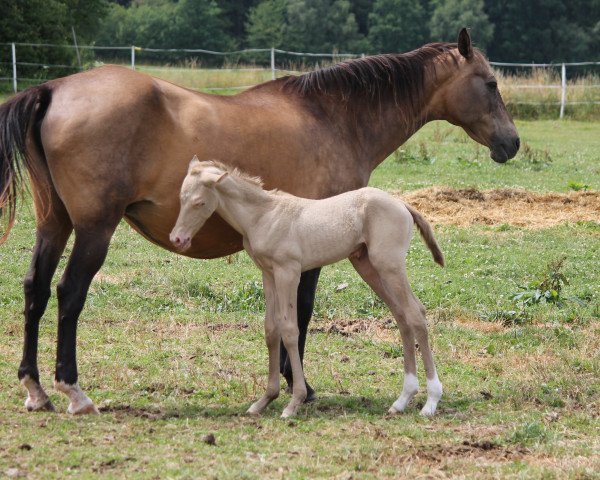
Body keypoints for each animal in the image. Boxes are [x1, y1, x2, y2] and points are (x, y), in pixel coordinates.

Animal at [171, 158, 442, 416]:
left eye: (198, 203)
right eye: (181, 198)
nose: (178, 239)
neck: (263, 216)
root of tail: (401, 204)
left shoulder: (288, 272)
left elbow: (290, 330)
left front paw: (294, 402)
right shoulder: (268, 274)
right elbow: (271, 330)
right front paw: (264, 400)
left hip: (389, 265)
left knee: (415, 314)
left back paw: (430, 402)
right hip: (368, 266)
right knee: (402, 315)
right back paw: (402, 400)